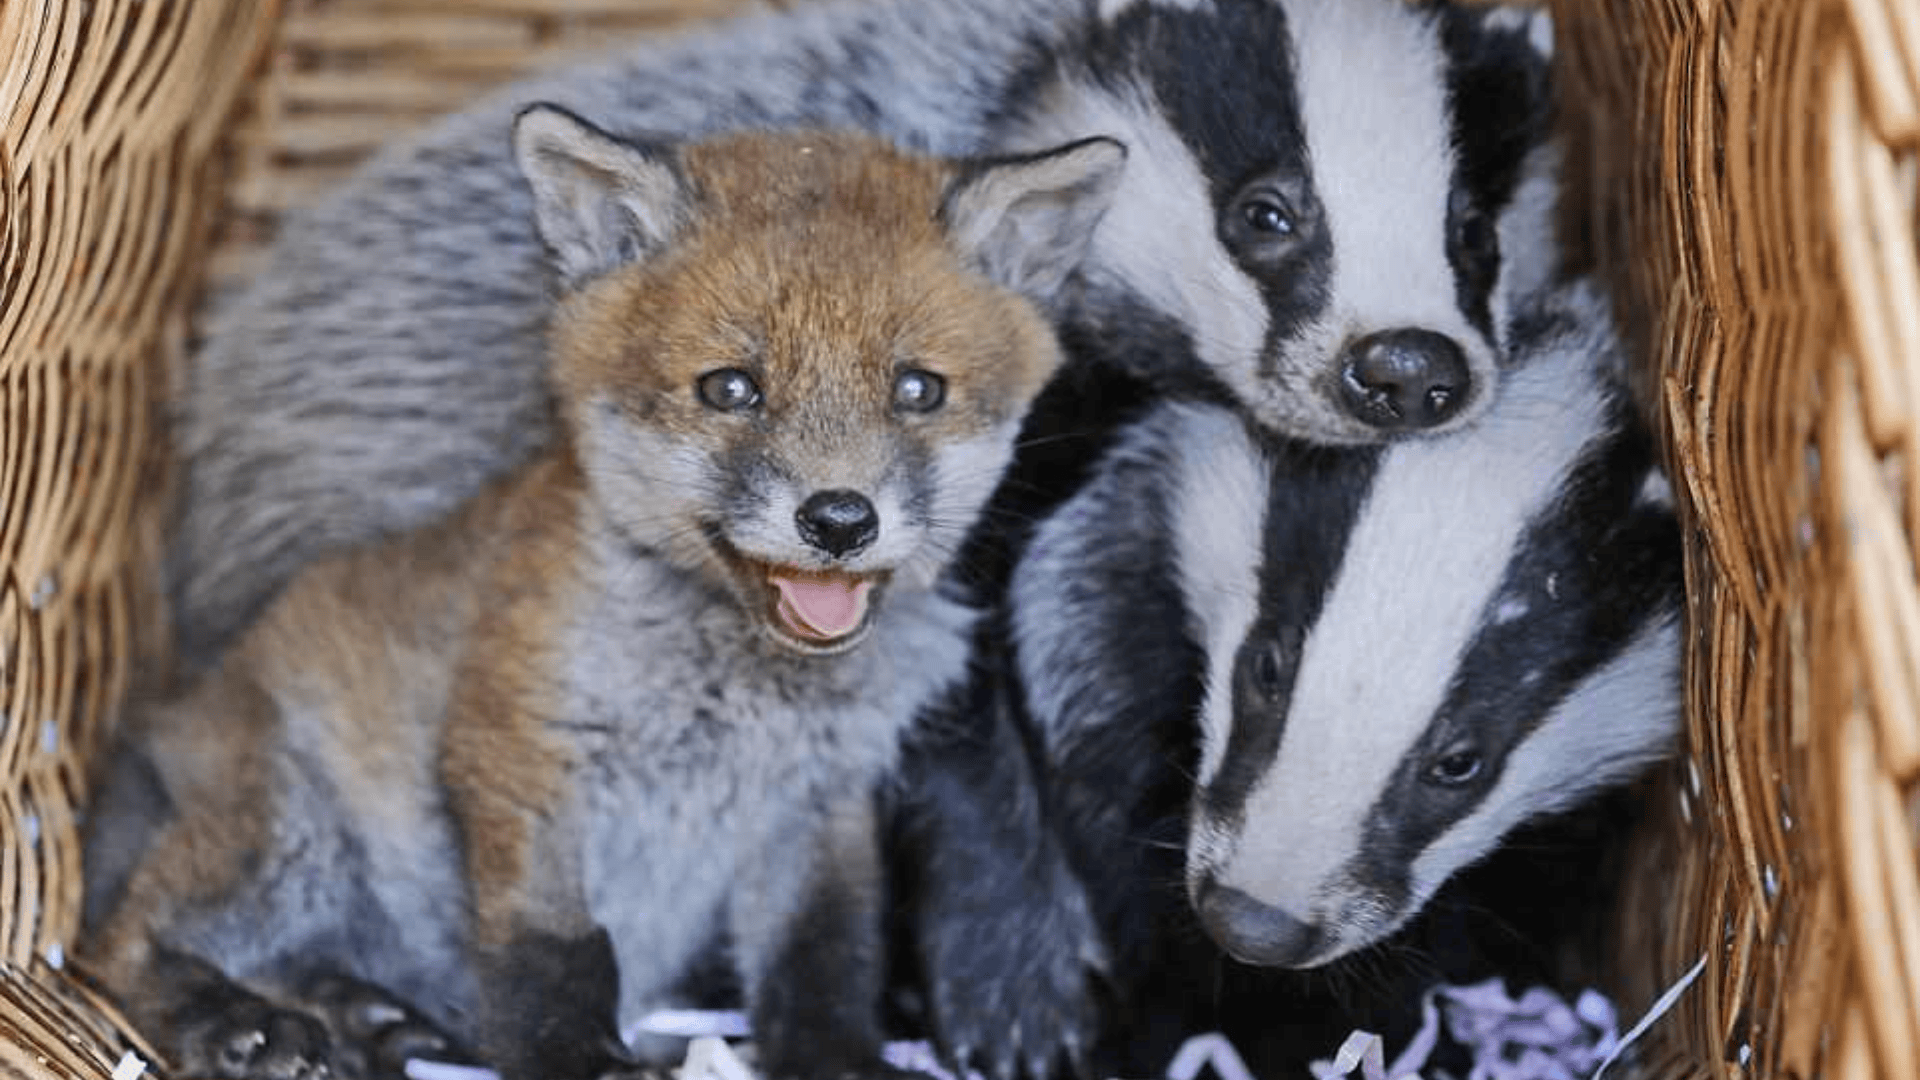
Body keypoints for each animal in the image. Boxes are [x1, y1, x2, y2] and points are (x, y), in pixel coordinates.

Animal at [78, 111, 1126, 1080]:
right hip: (284, 836)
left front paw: (839, 1064)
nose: (838, 519)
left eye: (917, 390)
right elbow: (558, 956)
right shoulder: (523, 753)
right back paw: (236, 1022)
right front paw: (576, 1058)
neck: (738, 705)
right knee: (119, 943)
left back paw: (366, 1018)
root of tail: (176, 715)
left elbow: (826, 964)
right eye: (731, 389)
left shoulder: (815, 807)